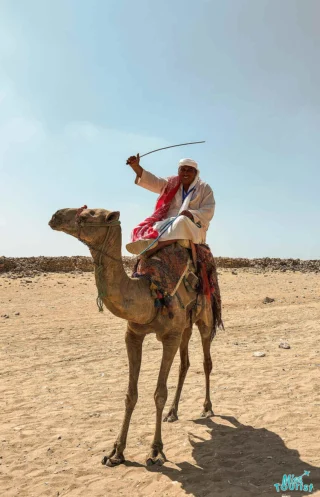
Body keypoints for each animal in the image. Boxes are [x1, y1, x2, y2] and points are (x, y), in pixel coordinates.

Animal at [49, 205, 218, 464]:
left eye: (92, 214)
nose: (55, 215)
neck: (149, 292)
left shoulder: (169, 338)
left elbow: (159, 393)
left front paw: (156, 450)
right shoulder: (133, 334)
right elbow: (130, 394)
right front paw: (116, 451)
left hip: (205, 318)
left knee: (206, 361)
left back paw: (207, 408)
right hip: (185, 326)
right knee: (185, 363)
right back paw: (173, 413)